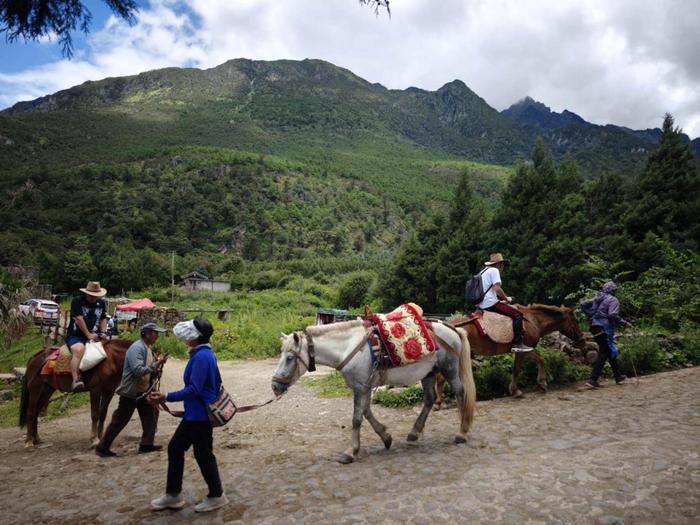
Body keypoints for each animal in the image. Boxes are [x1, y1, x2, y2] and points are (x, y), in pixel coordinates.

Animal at [270, 320, 478, 462]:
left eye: (289, 358)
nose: (275, 386)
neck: (348, 348)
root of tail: (453, 329)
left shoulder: (361, 387)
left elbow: (356, 418)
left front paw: (350, 452)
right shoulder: (365, 387)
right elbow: (367, 412)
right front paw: (386, 438)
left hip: (449, 369)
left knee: (460, 393)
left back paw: (462, 433)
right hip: (429, 373)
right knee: (429, 399)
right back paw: (413, 434)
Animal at [434, 300, 588, 404]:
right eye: (574, 321)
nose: (582, 340)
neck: (532, 321)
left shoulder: (526, 348)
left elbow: (539, 360)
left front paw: (541, 383)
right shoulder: (522, 349)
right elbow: (517, 369)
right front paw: (517, 390)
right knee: (442, 377)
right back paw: (439, 401)